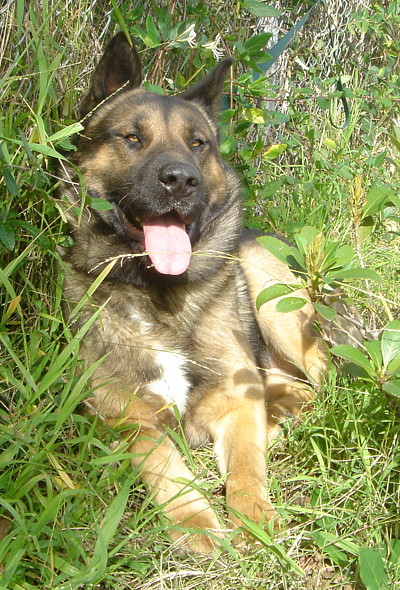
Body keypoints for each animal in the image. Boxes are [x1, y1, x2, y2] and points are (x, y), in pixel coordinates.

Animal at [59, 32, 327, 553]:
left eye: (198, 143)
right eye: (132, 137)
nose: (182, 180)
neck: (160, 295)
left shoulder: (237, 399)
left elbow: (247, 466)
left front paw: (255, 516)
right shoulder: (128, 418)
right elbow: (166, 467)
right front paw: (196, 522)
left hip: (271, 299)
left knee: (324, 383)